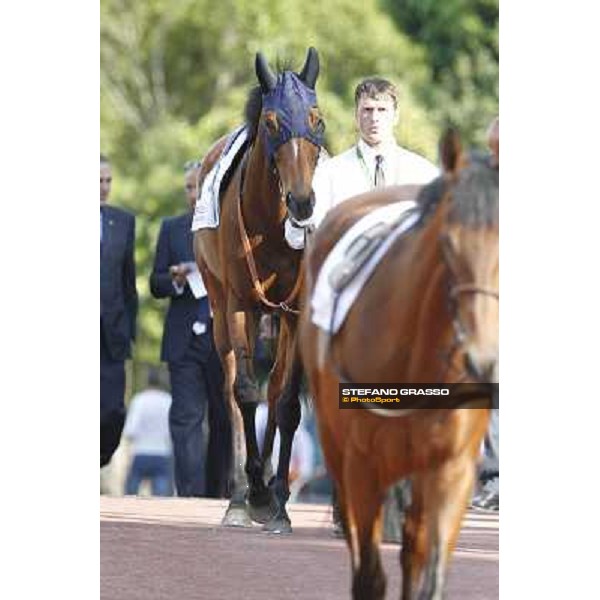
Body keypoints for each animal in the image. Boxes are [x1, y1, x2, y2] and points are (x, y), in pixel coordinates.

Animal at [192, 49, 324, 532]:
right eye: (271, 121)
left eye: (316, 118)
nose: (302, 202)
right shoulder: (238, 304)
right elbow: (244, 392)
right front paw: (253, 491)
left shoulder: (298, 310)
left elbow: (285, 402)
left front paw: (278, 500)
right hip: (219, 305)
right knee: (234, 388)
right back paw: (240, 494)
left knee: (275, 386)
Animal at [298, 129, 500, 596]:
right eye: (448, 243)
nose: (484, 360)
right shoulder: (361, 467)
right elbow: (369, 577)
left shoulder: (451, 468)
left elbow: (432, 572)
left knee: (413, 546)